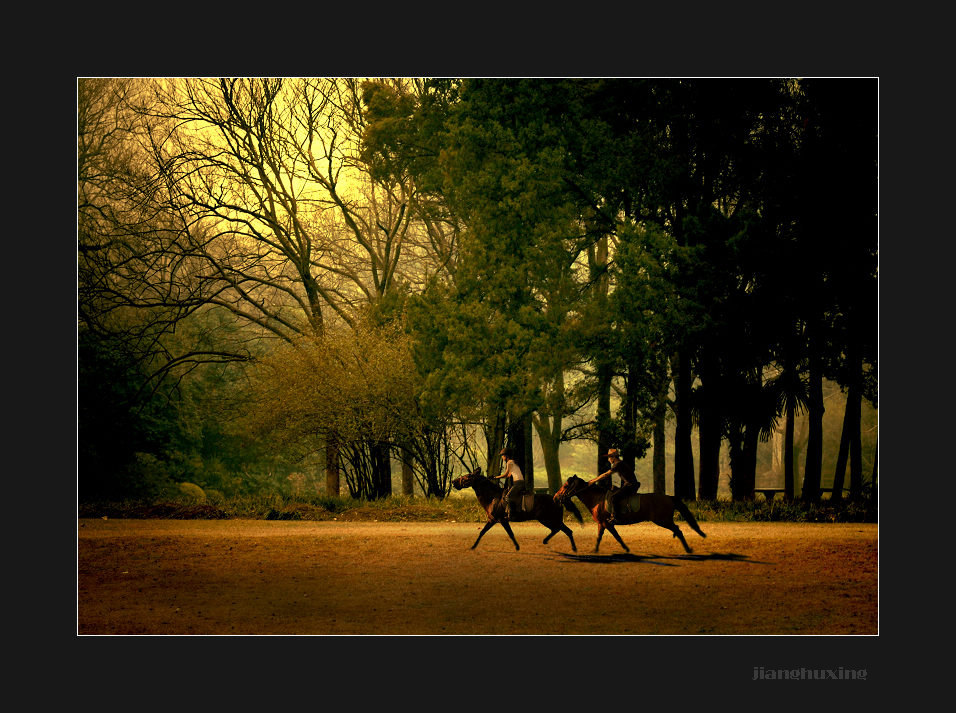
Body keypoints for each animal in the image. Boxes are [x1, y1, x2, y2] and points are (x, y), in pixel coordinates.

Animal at [450, 468, 584, 552]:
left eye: (467, 476)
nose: (453, 481)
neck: (493, 497)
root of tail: (557, 499)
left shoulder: (497, 519)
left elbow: (485, 532)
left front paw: (473, 546)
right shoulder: (498, 520)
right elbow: (504, 533)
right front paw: (517, 546)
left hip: (548, 519)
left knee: (565, 530)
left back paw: (572, 548)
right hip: (550, 520)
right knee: (560, 530)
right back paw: (549, 541)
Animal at [548, 476, 704, 552]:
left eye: (565, 486)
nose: (555, 498)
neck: (597, 499)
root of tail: (669, 497)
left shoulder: (605, 523)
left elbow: (615, 536)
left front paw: (625, 548)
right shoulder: (603, 524)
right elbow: (602, 537)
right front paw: (596, 549)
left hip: (663, 520)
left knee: (678, 530)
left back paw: (688, 549)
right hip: (664, 520)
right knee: (677, 530)